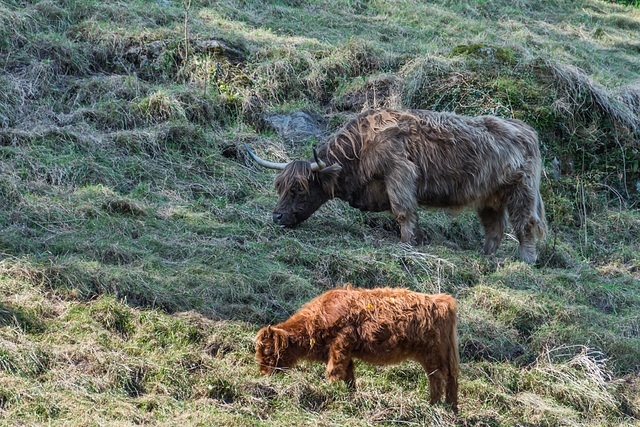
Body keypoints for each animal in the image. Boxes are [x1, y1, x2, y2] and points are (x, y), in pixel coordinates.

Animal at [248, 108, 548, 262]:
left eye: (298, 189)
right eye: (279, 187)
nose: (277, 217)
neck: (360, 149)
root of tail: (526, 130)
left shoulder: (399, 172)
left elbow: (403, 212)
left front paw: (406, 245)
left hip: (522, 191)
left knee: (525, 224)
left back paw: (526, 261)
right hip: (489, 198)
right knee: (494, 229)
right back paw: (485, 256)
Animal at [255, 286, 460, 412]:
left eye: (268, 351)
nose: (263, 373)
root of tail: (443, 300)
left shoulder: (340, 344)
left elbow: (334, 371)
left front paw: (332, 391)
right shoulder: (346, 353)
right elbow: (349, 376)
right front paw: (350, 396)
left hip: (432, 354)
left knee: (438, 377)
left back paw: (432, 405)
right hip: (446, 354)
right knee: (452, 378)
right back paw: (451, 408)